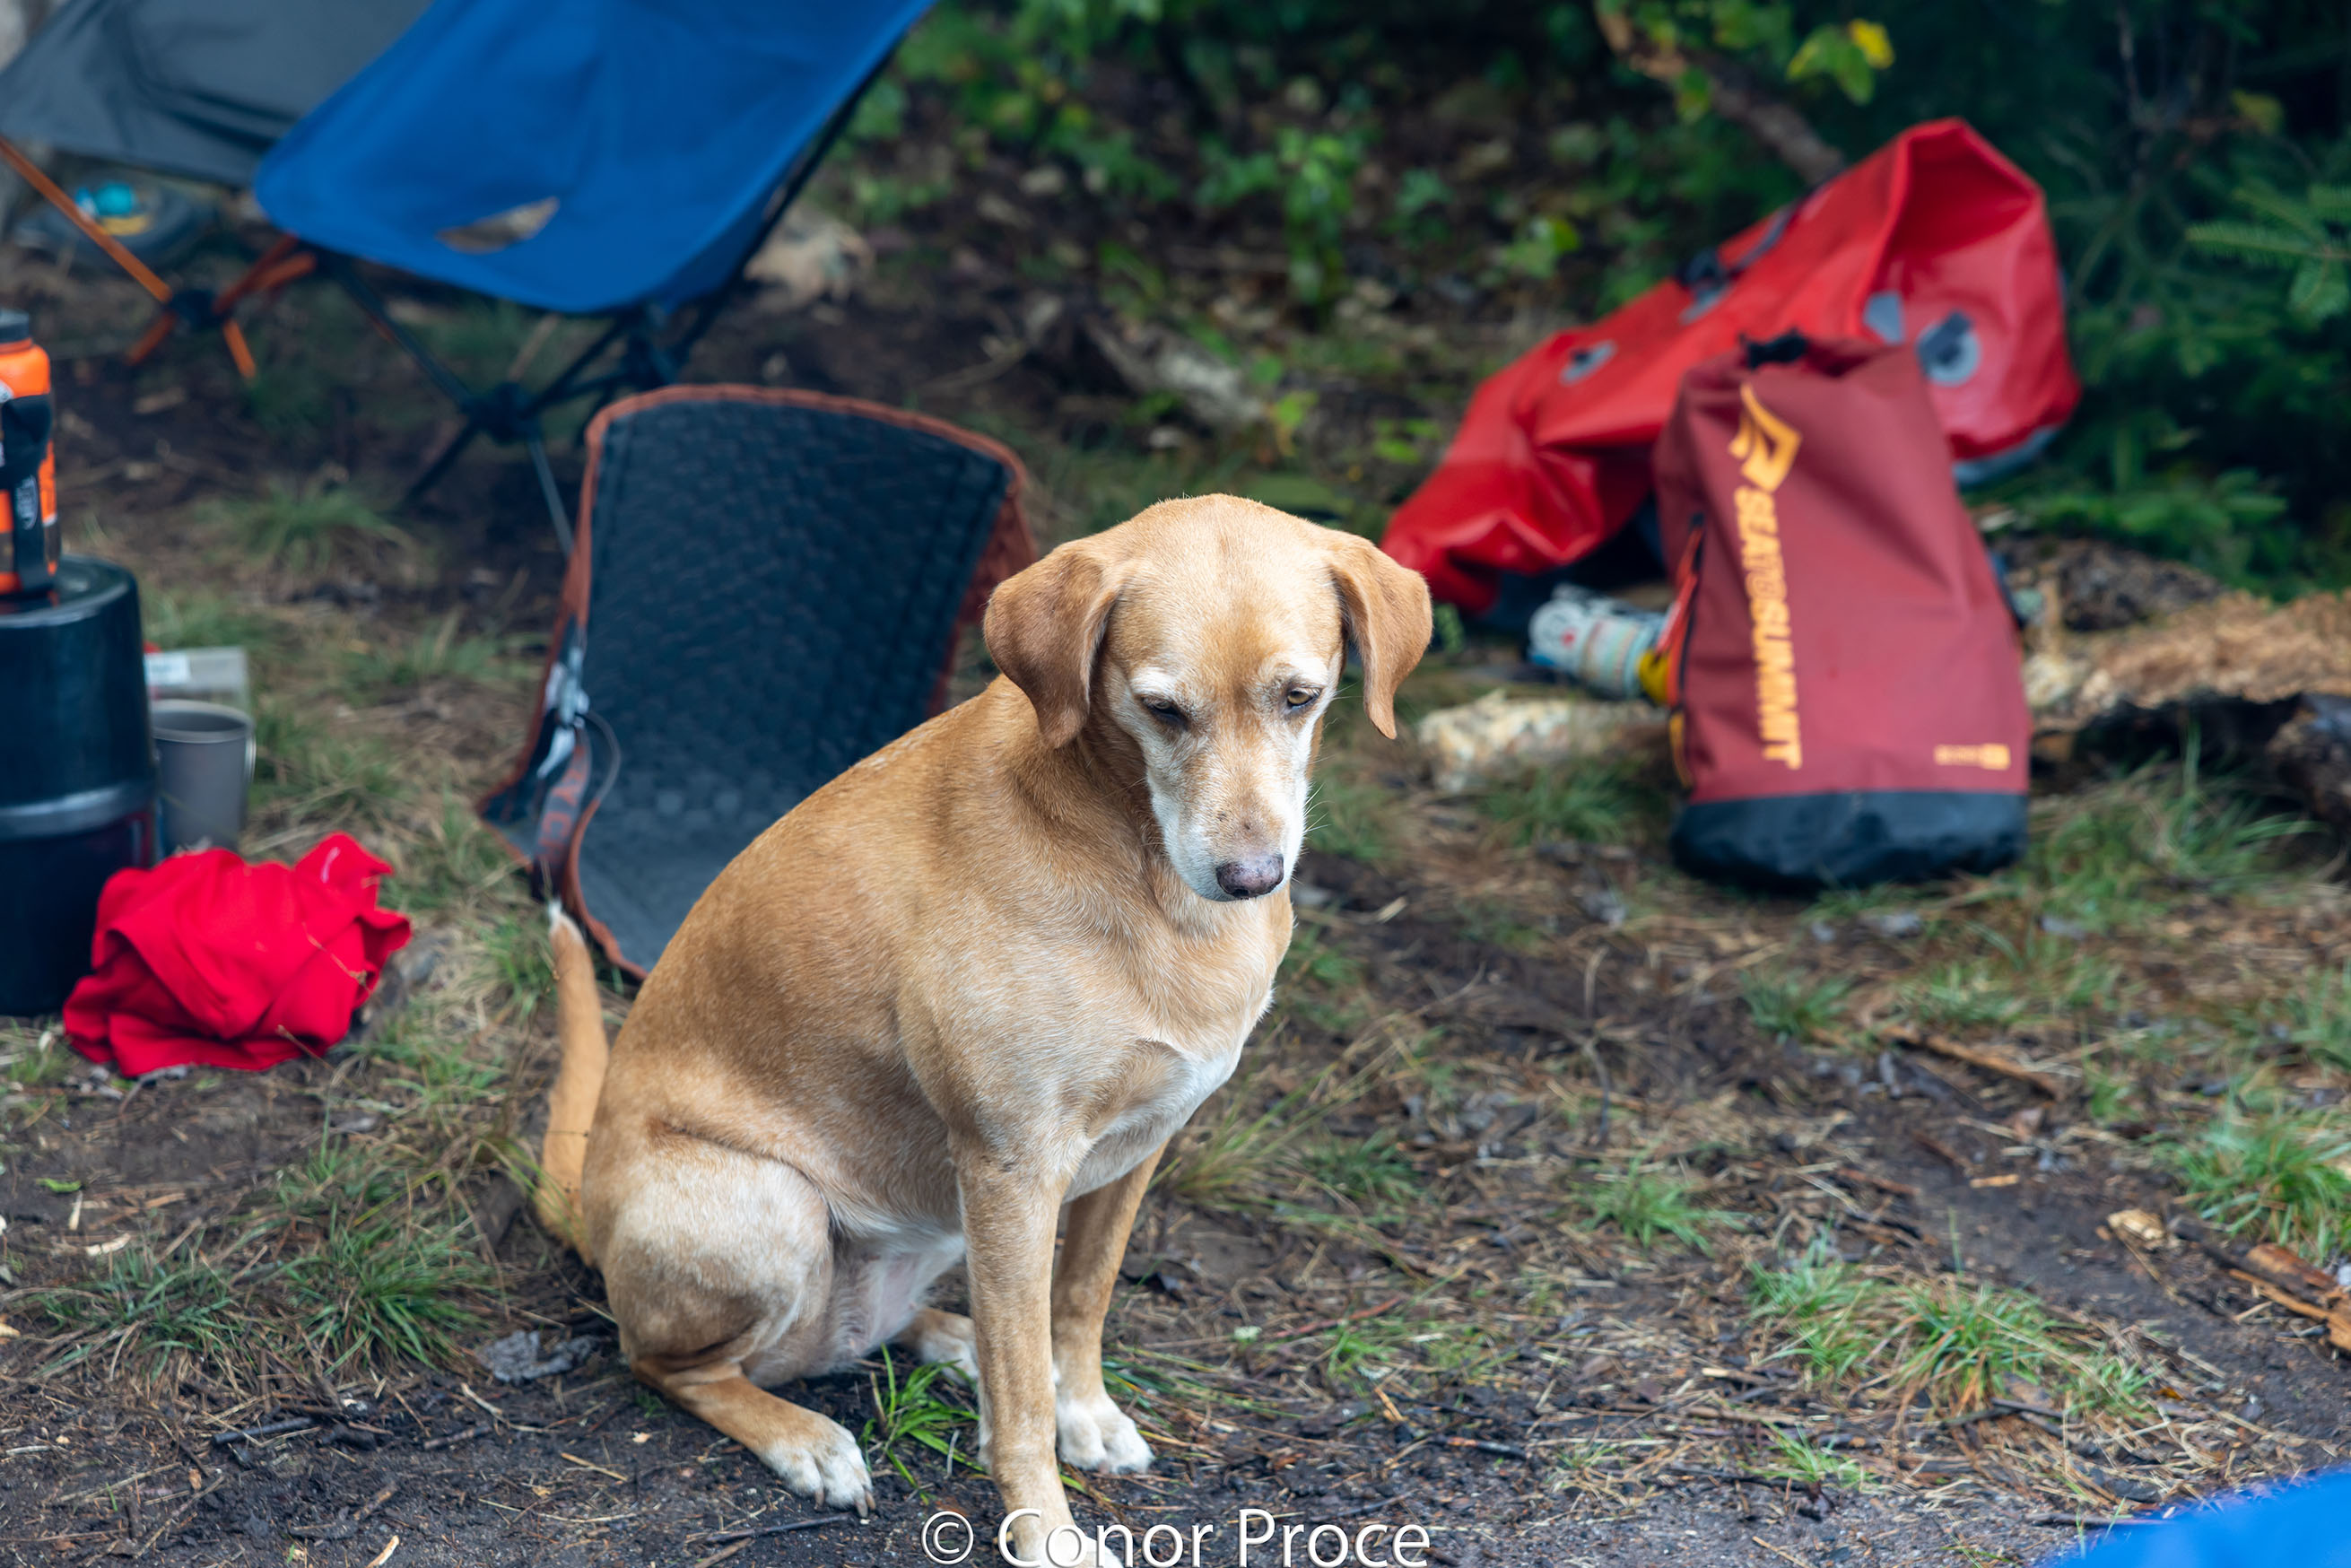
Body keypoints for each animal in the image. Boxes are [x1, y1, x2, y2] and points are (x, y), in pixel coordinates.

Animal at [535, 495, 1430, 1561]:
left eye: (1301, 696)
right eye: (1161, 709)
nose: (1252, 876)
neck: (1139, 869)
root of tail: (588, 1206)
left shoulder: (1138, 1148)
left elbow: (1079, 1302)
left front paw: (1083, 1409)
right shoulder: (1015, 1164)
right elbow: (1021, 1403)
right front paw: (1045, 1531)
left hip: (931, 1225)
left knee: (874, 1334)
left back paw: (947, 1340)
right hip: (775, 1210)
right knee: (675, 1365)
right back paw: (807, 1439)